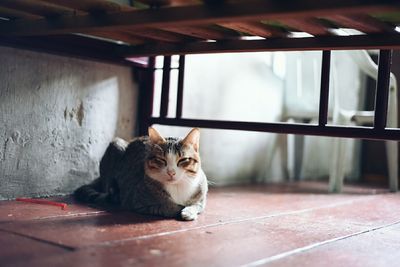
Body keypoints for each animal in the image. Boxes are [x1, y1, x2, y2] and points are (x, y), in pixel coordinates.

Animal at [73, 127, 208, 222]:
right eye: (161, 160)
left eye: (183, 160)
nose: (171, 172)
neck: (177, 187)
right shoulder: (136, 200)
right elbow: (166, 206)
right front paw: (179, 209)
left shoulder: (201, 195)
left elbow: (197, 205)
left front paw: (189, 211)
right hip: (115, 147)